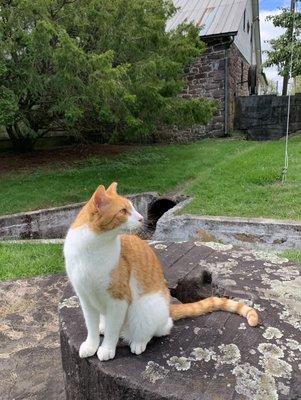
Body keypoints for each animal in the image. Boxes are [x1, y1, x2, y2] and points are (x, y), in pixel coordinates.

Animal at [63, 184, 258, 362]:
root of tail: (167, 306)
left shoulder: (118, 299)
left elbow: (113, 331)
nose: (141, 218)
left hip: (144, 308)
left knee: (161, 327)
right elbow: (91, 327)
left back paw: (138, 342)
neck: (92, 248)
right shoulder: (85, 298)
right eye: (123, 211)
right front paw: (91, 345)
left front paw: (107, 349)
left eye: (132, 208)